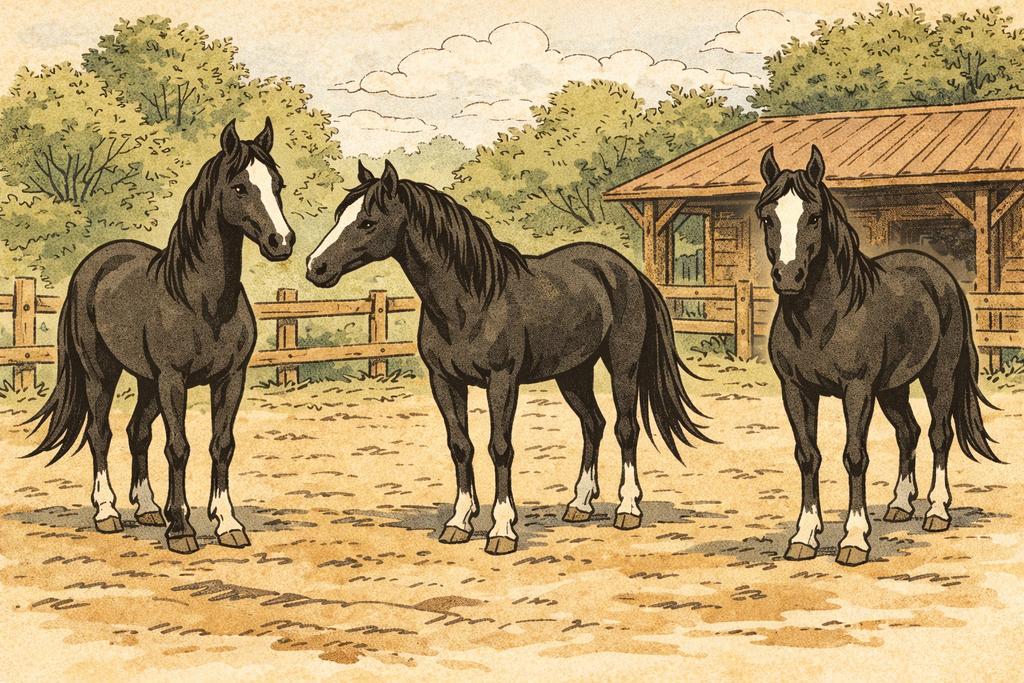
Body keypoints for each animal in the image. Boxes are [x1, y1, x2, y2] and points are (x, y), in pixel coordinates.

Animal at [24, 118, 294, 554]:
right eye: (239, 187)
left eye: (278, 184)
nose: (281, 242)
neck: (201, 300)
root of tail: (92, 265)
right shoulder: (173, 381)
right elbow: (178, 447)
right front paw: (181, 529)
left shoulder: (230, 379)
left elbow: (221, 445)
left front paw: (227, 523)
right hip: (102, 373)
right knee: (100, 433)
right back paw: (107, 512)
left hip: (146, 381)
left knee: (137, 432)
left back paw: (148, 507)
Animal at [306, 160, 711, 554]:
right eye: (340, 213)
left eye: (367, 221)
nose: (315, 266)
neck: (471, 301)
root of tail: (627, 270)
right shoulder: (444, 381)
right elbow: (461, 447)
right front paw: (459, 522)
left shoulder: (501, 381)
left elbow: (499, 448)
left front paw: (502, 530)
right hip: (573, 372)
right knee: (592, 424)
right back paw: (580, 504)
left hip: (622, 366)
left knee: (625, 429)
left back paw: (627, 509)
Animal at [757, 145, 1000, 566]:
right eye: (768, 216)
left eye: (814, 216)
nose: (788, 277)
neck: (821, 319)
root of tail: (942, 277)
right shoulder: (796, 390)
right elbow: (808, 455)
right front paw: (804, 536)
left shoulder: (857, 391)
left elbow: (855, 456)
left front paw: (854, 540)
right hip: (892, 389)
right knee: (908, 432)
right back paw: (900, 505)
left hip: (938, 376)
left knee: (938, 434)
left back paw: (937, 511)